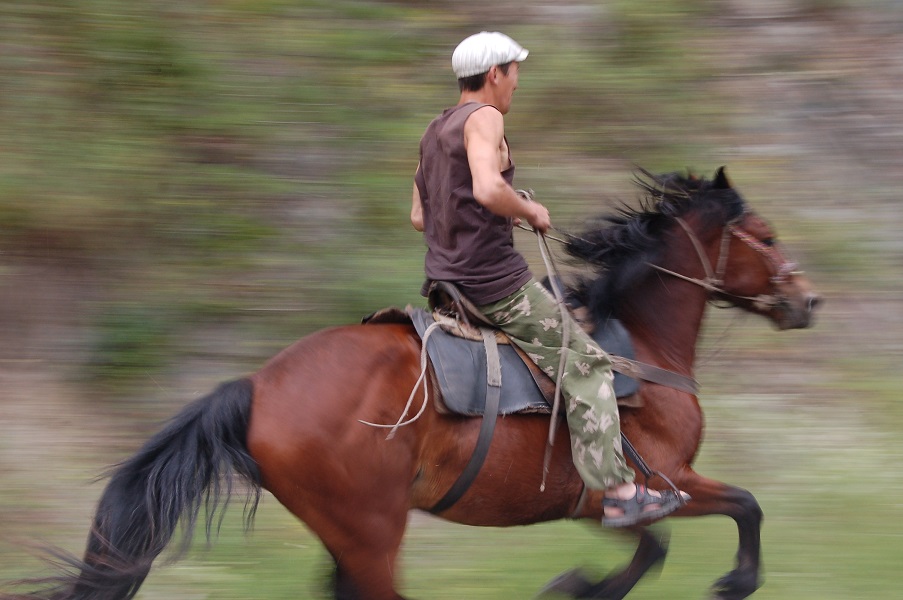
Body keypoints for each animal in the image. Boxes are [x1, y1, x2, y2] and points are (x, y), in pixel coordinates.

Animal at [0, 165, 820, 600]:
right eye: (768, 237)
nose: (806, 301)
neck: (637, 348)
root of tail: (258, 386)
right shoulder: (650, 483)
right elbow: (737, 509)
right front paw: (729, 582)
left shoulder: (609, 501)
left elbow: (663, 544)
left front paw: (579, 585)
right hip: (371, 532)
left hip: (346, 534)